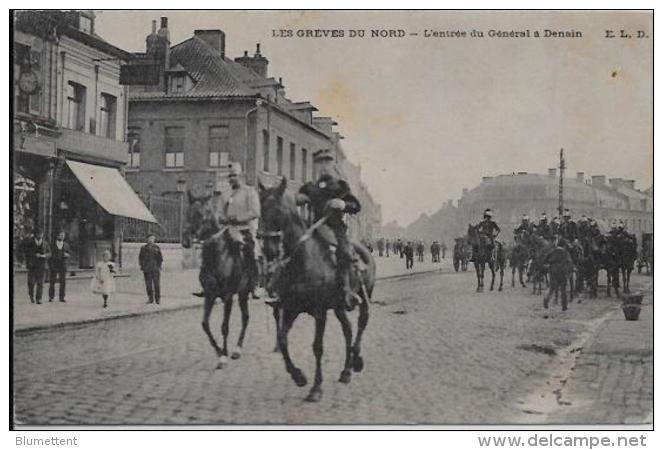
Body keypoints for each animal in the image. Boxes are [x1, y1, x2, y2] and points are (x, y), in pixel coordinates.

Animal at [180, 190, 253, 370]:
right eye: (186, 213)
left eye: (201, 214)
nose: (185, 241)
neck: (216, 256)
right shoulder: (209, 295)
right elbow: (205, 324)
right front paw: (219, 352)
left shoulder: (228, 297)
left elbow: (224, 326)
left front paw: (223, 356)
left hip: (243, 293)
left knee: (245, 317)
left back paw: (237, 350)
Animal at [256, 178, 376, 402]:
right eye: (261, 210)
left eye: (278, 211)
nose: (269, 250)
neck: (303, 260)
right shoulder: (291, 308)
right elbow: (282, 340)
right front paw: (298, 376)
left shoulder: (320, 312)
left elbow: (317, 347)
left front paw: (316, 388)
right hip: (338, 306)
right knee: (348, 330)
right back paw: (346, 371)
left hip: (364, 298)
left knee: (361, 324)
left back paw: (356, 359)